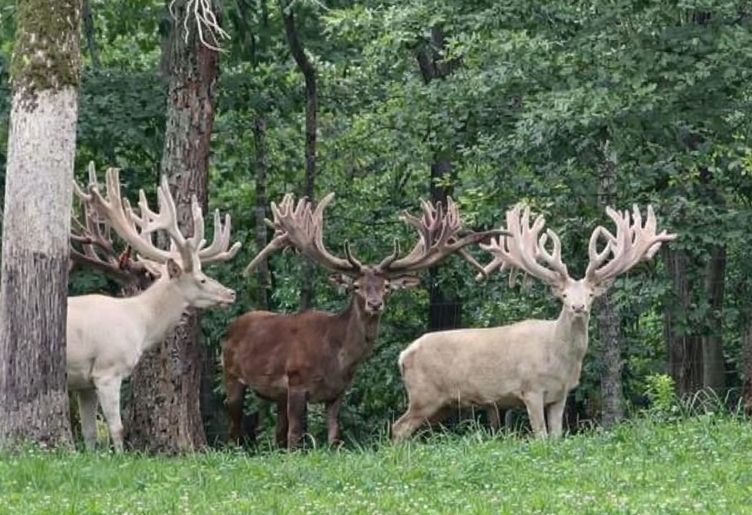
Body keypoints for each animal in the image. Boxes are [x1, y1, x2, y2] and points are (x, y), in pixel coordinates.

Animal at [67, 166, 240, 452]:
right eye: (201, 279)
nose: (231, 293)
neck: (139, 324)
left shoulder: (84, 381)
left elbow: (90, 433)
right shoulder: (107, 370)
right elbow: (117, 428)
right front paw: (120, 457)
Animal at [223, 192, 507, 449]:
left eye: (386, 287)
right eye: (356, 286)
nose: (375, 304)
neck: (335, 357)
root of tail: (233, 326)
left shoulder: (337, 392)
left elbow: (334, 437)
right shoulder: (296, 381)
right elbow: (295, 436)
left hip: (276, 396)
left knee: (276, 434)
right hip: (232, 374)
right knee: (235, 427)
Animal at [391, 203, 677, 442]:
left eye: (590, 294)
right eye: (564, 295)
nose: (578, 307)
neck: (557, 360)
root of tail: (403, 355)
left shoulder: (561, 394)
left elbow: (557, 435)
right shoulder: (530, 389)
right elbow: (540, 435)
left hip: (442, 404)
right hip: (423, 394)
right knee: (398, 427)